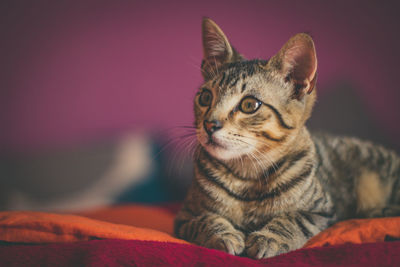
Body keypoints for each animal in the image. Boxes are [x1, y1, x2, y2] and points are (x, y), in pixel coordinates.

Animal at [174, 17, 400, 260]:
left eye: (249, 105)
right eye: (206, 98)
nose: (209, 124)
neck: (247, 175)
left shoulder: (323, 211)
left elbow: (294, 219)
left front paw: (270, 237)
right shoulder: (185, 215)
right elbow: (205, 219)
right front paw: (223, 234)